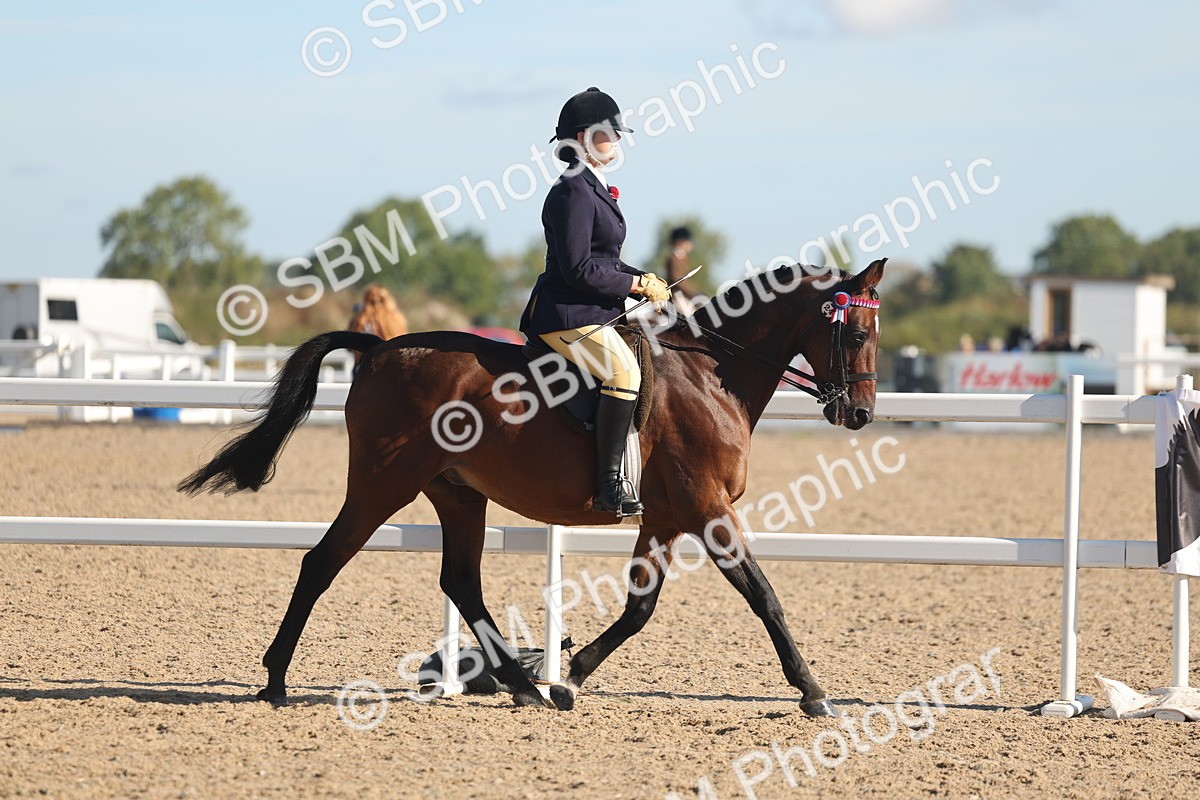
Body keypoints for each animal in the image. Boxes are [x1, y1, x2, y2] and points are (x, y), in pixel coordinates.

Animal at [179, 258, 886, 718]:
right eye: (854, 332)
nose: (858, 415)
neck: (712, 376)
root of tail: (379, 351)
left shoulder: (664, 516)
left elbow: (640, 608)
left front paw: (571, 676)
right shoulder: (707, 510)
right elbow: (764, 597)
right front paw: (813, 692)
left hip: (457, 492)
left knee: (461, 581)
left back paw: (520, 684)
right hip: (384, 485)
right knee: (322, 561)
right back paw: (275, 680)